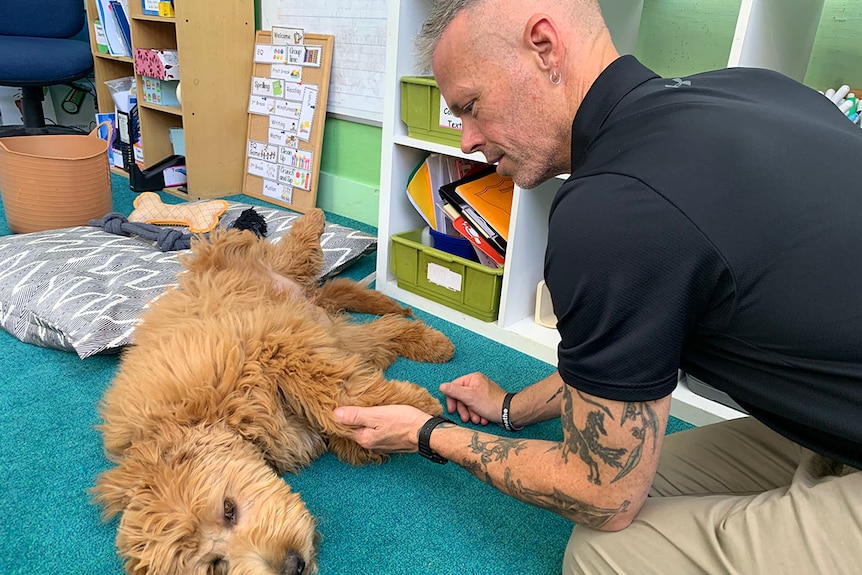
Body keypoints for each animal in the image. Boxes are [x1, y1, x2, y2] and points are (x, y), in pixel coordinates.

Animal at [92, 209, 456, 572]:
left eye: (228, 509)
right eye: (216, 564)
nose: (292, 565)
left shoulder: (272, 345)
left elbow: (331, 392)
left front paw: (409, 406)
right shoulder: (301, 346)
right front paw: (370, 435)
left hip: (257, 262)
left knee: (296, 249)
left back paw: (314, 218)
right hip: (328, 323)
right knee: (369, 322)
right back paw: (419, 334)